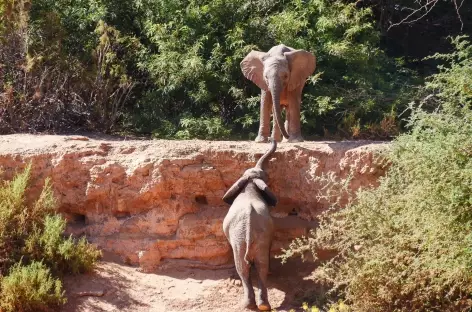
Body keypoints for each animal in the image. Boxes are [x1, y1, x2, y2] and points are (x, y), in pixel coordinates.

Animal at [221, 140, 276, 310]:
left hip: (242, 237)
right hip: (251, 236)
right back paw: (260, 305)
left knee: (245, 267)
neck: (250, 184)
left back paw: (250, 305)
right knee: (259, 265)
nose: (271, 139)